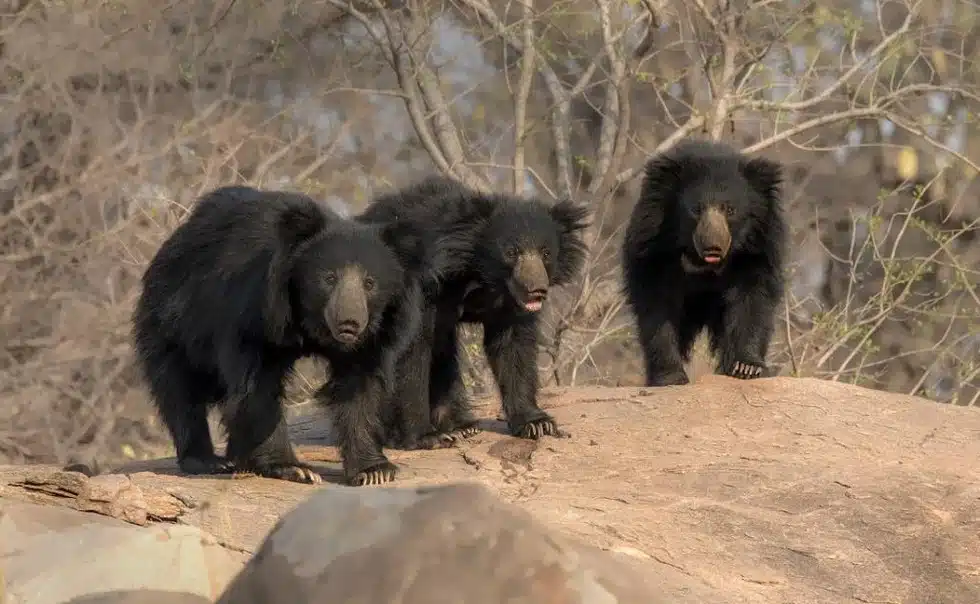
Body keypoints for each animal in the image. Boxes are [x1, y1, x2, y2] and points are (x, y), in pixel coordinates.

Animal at [132, 185, 451, 486]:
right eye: (328, 278)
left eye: (370, 283)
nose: (349, 324)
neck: (309, 321)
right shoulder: (255, 312)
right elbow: (258, 386)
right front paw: (294, 469)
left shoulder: (374, 337)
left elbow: (358, 388)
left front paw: (374, 470)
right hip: (174, 320)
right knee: (180, 390)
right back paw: (208, 461)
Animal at [358, 175, 591, 449]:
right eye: (511, 252)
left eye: (545, 253)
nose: (536, 291)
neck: (481, 276)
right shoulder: (424, 287)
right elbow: (412, 350)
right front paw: (425, 436)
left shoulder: (510, 305)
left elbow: (514, 348)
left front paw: (536, 423)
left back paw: (461, 426)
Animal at [620, 139, 786, 387]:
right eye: (696, 209)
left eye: (730, 209)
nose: (713, 247)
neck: (703, 264)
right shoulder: (653, 250)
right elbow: (658, 308)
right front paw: (670, 376)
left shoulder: (756, 252)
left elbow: (752, 301)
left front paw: (746, 368)